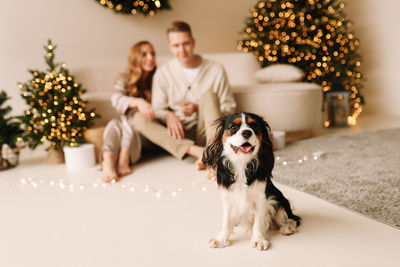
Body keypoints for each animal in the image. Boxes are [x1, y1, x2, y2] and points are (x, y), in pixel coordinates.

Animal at [203, 112, 300, 252]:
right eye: (233, 127)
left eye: (254, 126)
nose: (247, 132)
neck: (241, 163)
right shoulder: (228, 199)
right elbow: (226, 220)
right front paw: (221, 239)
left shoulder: (262, 198)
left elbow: (258, 221)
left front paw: (258, 239)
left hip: (280, 199)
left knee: (294, 218)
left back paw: (288, 227)